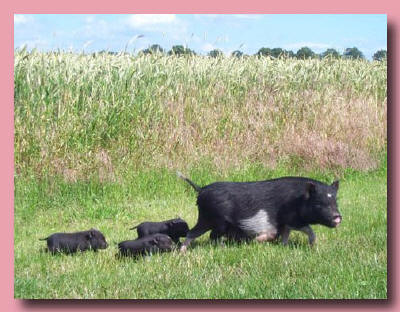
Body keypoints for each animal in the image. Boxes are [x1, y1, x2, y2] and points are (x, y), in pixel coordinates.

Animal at [177, 171, 340, 251]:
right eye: (318, 203)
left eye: (335, 201)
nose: (337, 217)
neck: (298, 200)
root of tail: (201, 189)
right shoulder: (291, 219)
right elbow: (308, 230)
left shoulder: (287, 223)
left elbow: (286, 234)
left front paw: (285, 246)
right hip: (212, 220)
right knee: (197, 234)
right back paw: (183, 252)